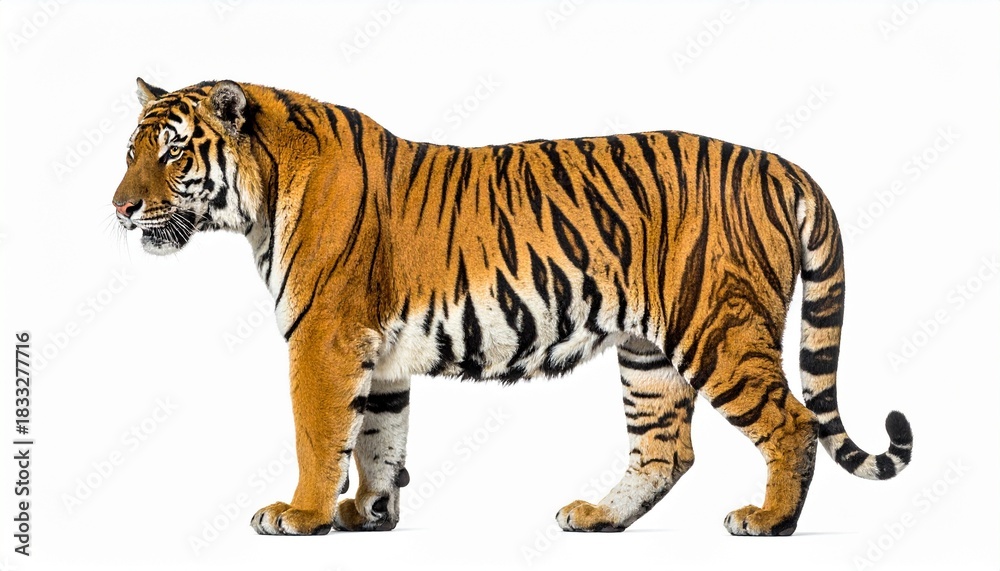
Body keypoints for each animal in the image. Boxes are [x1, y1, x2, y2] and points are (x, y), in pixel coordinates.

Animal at [112, 77, 912, 537]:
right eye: (129, 151)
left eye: (173, 152)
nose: (119, 208)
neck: (260, 196)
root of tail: (781, 163)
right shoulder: (378, 354)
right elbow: (378, 437)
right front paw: (369, 514)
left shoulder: (324, 340)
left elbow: (319, 435)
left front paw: (300, 514)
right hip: (648, 353)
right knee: (666, 449)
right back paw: (598, 517)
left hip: (720, 329)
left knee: (793, 423)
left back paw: (768, 520)